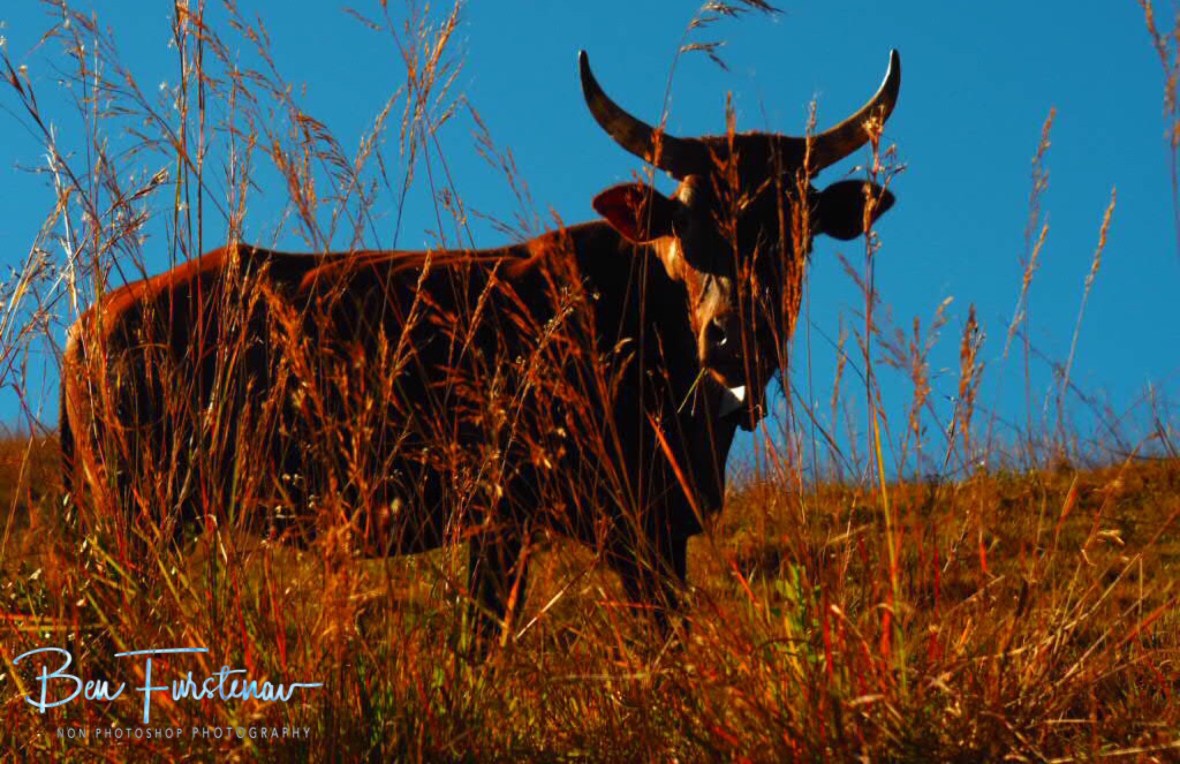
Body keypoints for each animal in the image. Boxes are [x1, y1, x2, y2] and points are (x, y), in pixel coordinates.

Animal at [60, 50, 900, 642]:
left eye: (796, 230)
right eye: (688, 225)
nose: (734, 335)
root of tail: (90, 322)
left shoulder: (648, 532)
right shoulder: (543, 522)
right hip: (140, 516)